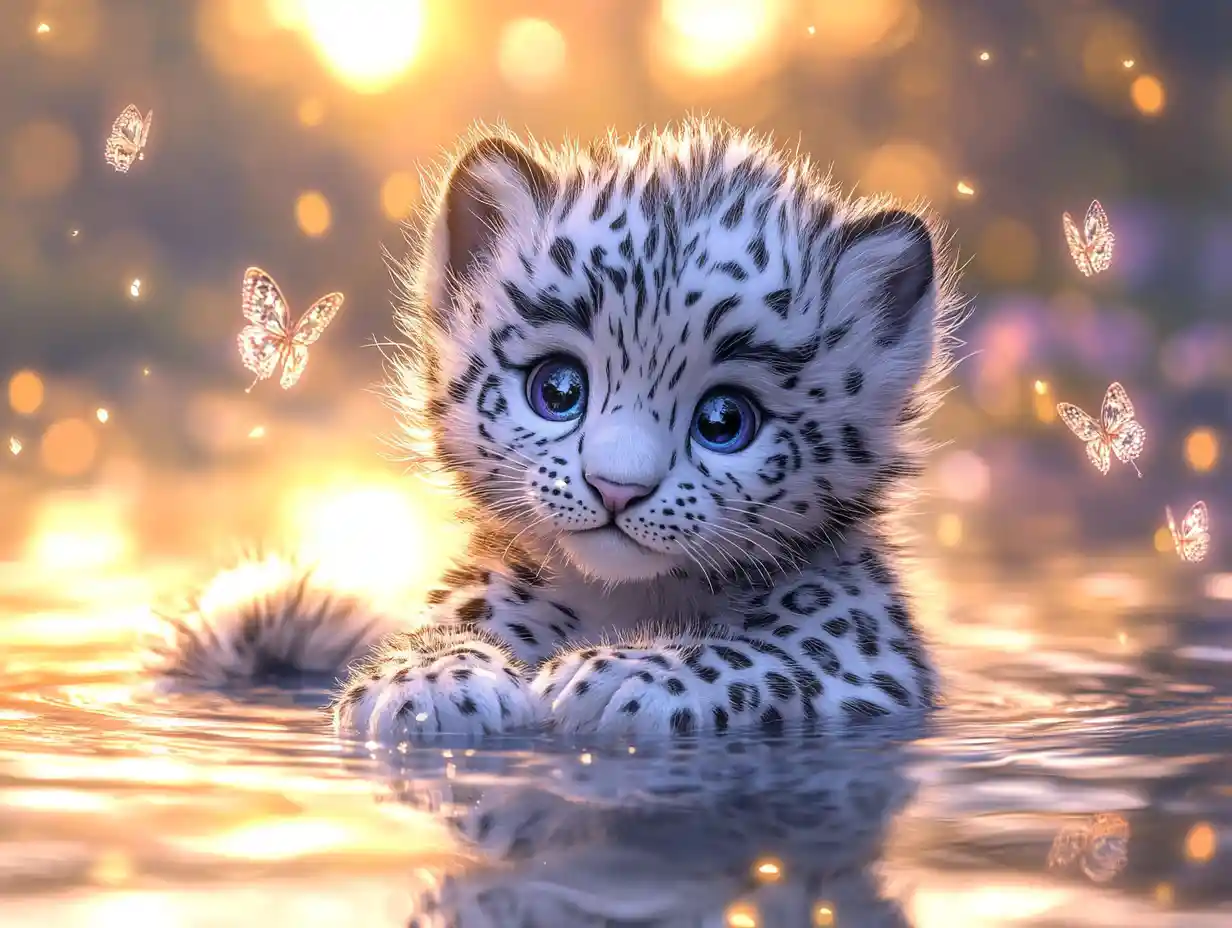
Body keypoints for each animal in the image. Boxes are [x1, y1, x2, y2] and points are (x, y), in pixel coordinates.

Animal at [145, 116, 966, 744]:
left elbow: (764, 659)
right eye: (559, 389)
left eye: (725, 420)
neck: (637, 604)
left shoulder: (862, 657)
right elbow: (426, 645)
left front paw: (623, 678)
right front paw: (436, 685)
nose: (616, 487)